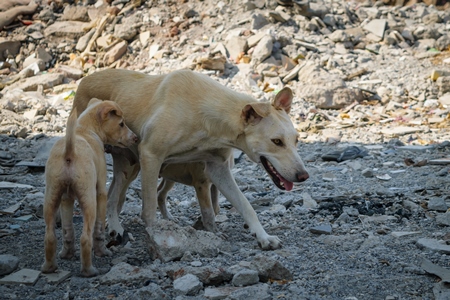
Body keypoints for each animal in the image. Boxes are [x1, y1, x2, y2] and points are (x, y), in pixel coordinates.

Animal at [42, 98, 137, 276]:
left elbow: (68, 230)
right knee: (85, 238)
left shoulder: (66, 198)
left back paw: (49, 267)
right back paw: (89, 270)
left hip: (51, 197)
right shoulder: (101, 193)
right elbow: (99, 229)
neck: (85, 129)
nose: (136, 138)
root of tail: (69, 152)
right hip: (89, 200)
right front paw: (102, 252)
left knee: (50, 236)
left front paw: (67, 254)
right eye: (121, 124)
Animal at [73, 69, 310, 250]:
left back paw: (114, 229)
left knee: (114, 196)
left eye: (296, 139)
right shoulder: (151, 155)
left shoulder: (217, 169)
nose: (303, 176)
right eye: (277, 141)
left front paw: (263, 237)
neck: (208, 115)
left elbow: (244, 205)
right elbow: (149, 209)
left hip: (129, 166)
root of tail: (84, 79)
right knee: (111, 196)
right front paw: (156, 238)